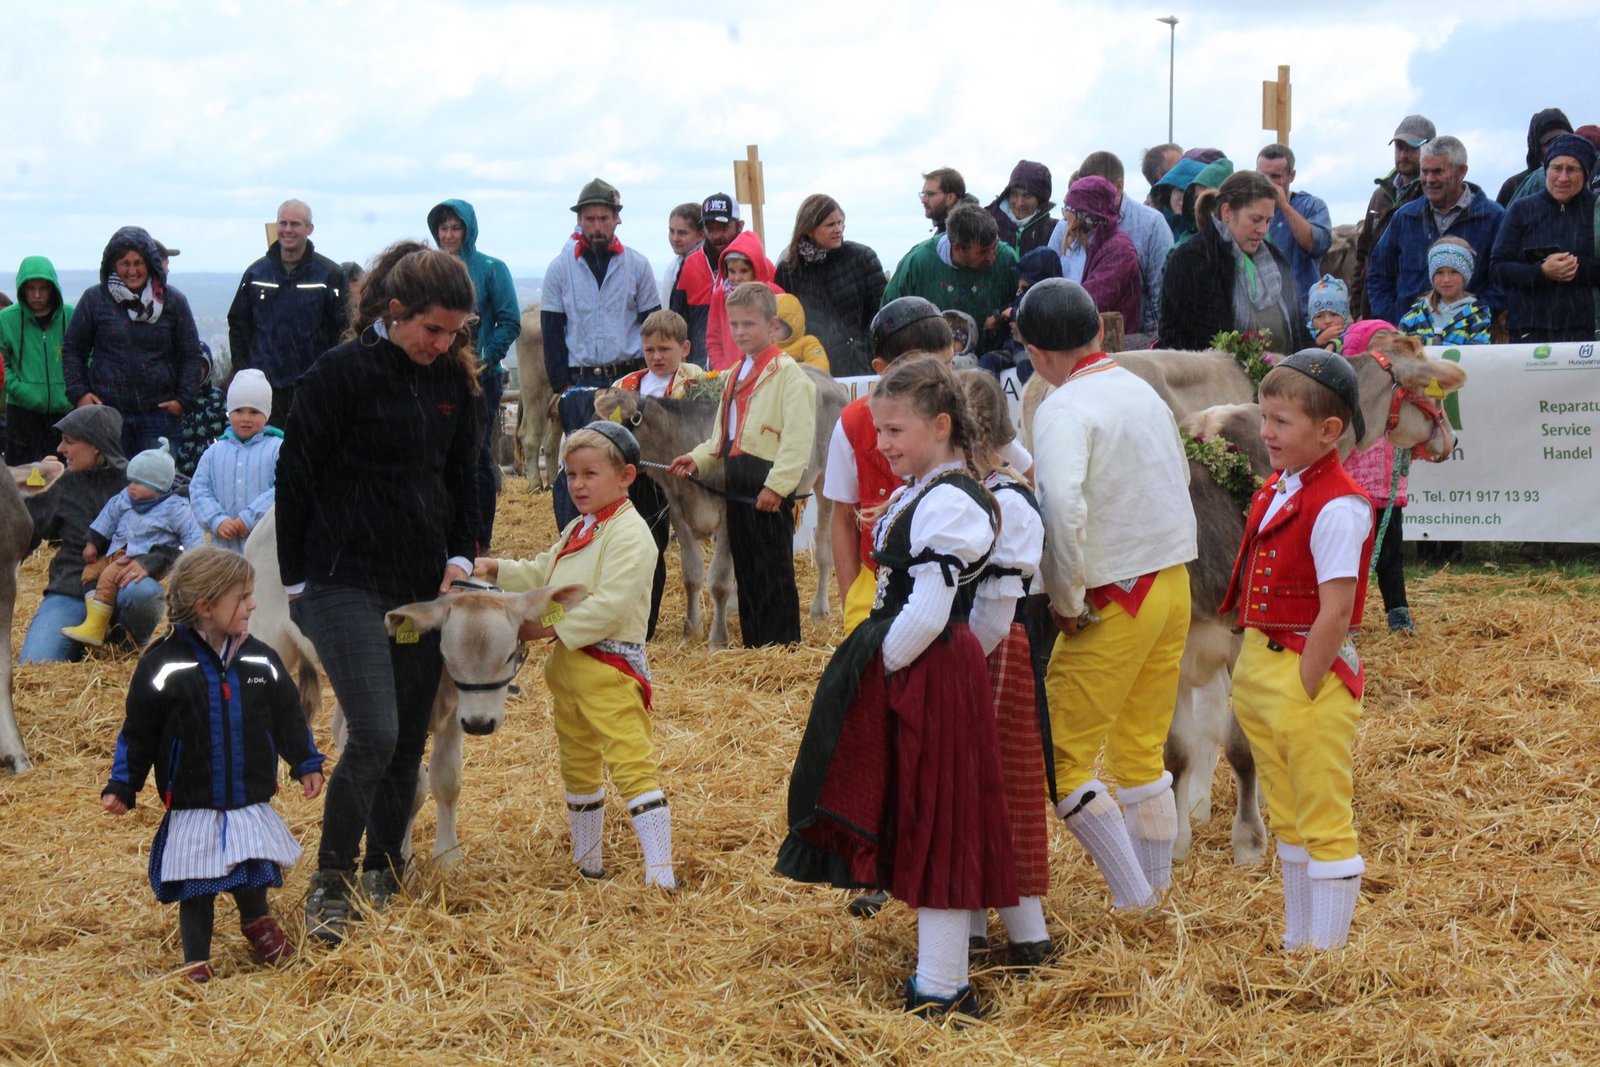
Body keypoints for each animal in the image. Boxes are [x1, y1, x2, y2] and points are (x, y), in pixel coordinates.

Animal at [244, 508, 585, 865]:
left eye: (508, 655)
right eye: (446, 655)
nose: (480, 723)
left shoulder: (454, 718)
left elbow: (446, 779)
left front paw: (447, 855)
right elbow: (413, 785)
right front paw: (402, 856)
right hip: (271, 639)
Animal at [593, 364, 849, 647]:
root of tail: (827, 378)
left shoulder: (728, 512)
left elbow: (719, 580)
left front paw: (718, 639)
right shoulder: (678, 512)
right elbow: (692, 574)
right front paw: (691, 630)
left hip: (826, 481)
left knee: (824, 547)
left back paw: (819, 609)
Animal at [1022, 332, 1467, 863]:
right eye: (1429, 388)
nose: (1450, 439)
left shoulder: (1239, 640)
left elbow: (1238, 742)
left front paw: (1249, 838)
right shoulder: (1179, 649)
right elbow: (1179, 746)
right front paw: (1180, 837)